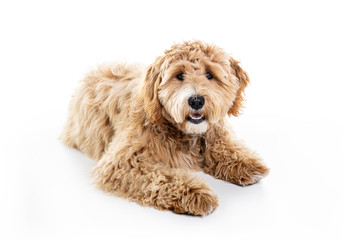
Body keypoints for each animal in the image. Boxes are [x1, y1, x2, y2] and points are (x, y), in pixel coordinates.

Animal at [61, 40, 268, 216]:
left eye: (209, 74)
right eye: (179, 75)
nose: (196, 100)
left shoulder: (214, 133)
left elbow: (223, 146)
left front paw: (245, 163)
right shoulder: (120, 163)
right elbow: (160, 177)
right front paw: (196, 193)